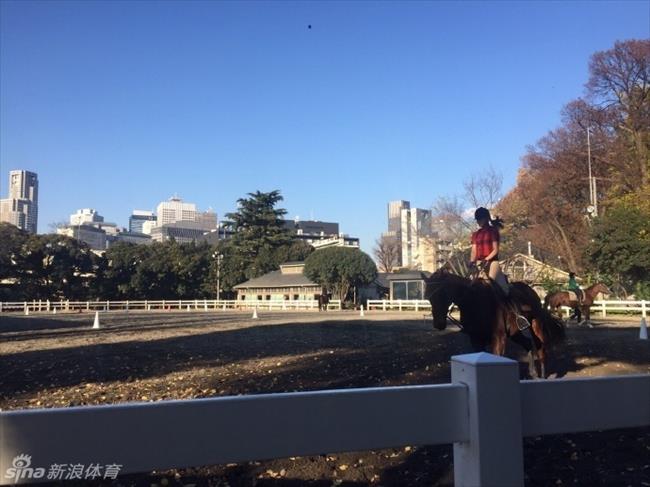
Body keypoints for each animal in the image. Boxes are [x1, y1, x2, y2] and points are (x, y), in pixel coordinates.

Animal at [425, 270, 565, 378]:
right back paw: (533, 373)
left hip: (536, 326)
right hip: (515, 333)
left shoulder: (498, 337)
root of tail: (531, 291)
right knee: (527, 344)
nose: (438, 324)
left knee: (541, 349)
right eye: (429, 297)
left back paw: (542, 375)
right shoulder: (476, 340)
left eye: (442, 293)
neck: (474, 301)